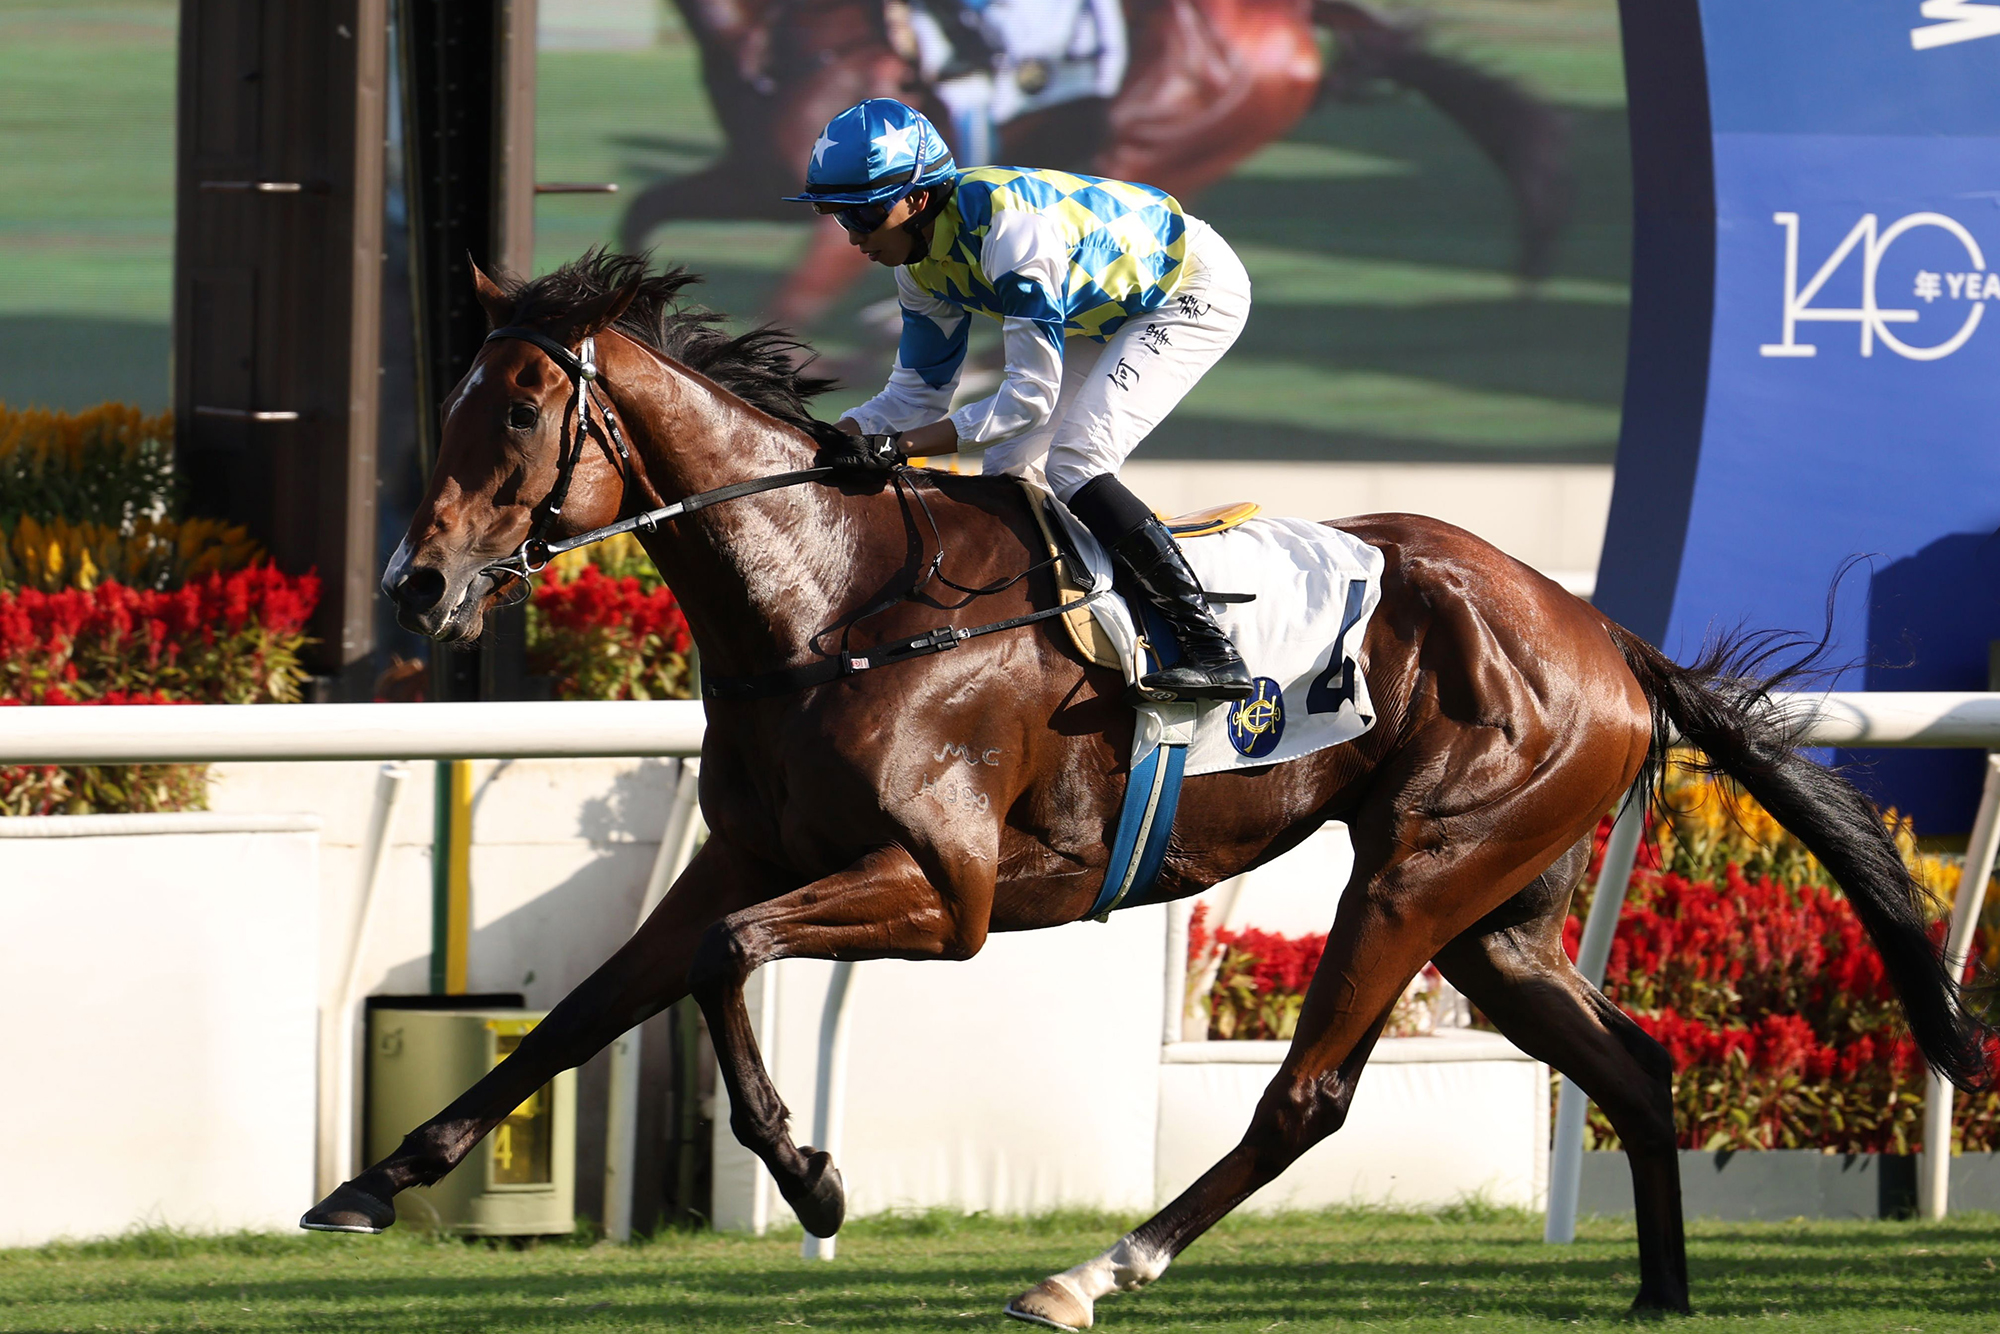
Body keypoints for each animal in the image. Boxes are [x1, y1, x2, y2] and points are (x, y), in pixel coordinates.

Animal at [304, 253, 1992, 1328]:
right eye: (452, 403)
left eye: (522, 411)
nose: (419, 581)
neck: (830, 601)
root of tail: (1603, 632)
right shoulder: (749, 855)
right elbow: (599, 1003)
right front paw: (374, 1183)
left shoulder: (949, 892)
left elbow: (721, 963)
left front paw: (812, 1175)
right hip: (1497, 913)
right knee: (1634, 1066)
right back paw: (1658, 1293)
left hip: (1416, 873)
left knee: (1309, 1096)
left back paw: (1088, 1272)